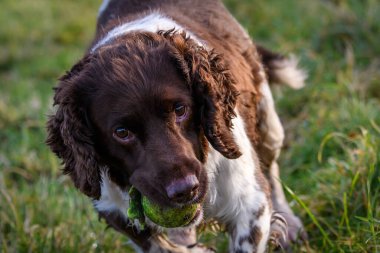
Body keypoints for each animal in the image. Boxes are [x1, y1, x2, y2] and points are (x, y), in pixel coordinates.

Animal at [46, 0, 308, 252]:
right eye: (121, 132)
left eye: (180, 110)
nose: (184, 189)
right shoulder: (112, 208)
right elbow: (162, 245)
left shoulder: (249, 203)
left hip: (268, 121)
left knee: (271, 167)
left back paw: (287, 224)